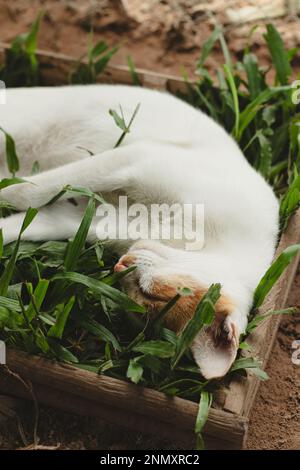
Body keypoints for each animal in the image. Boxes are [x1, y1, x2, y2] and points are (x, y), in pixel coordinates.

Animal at [0, 84, 278, 378]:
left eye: (140, 298)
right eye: (152, 292)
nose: (121, 265)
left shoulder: (84, 217)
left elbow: (27, 216)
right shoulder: (137, 158)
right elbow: (25, 191)